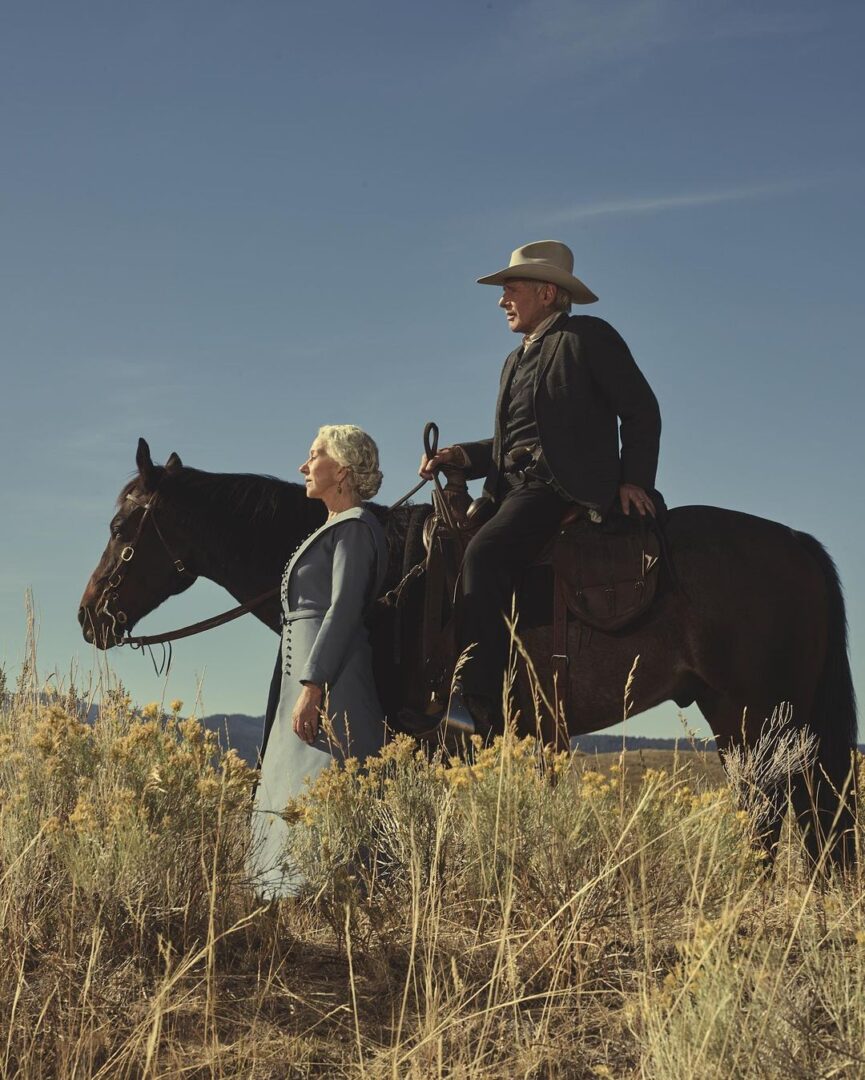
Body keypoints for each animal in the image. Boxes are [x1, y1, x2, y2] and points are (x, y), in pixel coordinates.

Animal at [82, 440, 855, 868]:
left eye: (122, 525)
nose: (90, 615)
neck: (391, 575)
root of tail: (797, 543)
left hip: (754, 719)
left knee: (776, 818)